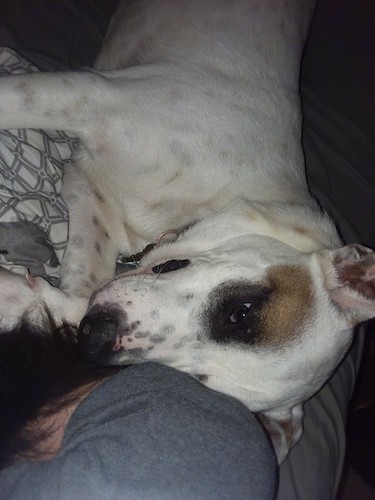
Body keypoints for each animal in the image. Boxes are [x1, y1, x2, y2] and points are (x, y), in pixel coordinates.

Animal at [0, 0, 375, 462]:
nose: (95, 339)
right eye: (242, 312)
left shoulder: (92, 205)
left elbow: (73, 297)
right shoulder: (86, 94)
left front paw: (20, 296)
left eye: (195, 383)